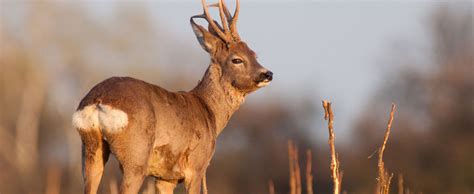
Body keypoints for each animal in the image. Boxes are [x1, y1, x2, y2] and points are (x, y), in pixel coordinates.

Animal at [70, 0, 270, 193]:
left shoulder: (165, 177)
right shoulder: (196, 166)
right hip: (136, 158)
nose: (267, 74)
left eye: (254, 54)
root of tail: (98, 101)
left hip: (90, 149)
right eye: (237, 59)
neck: (208, 110)